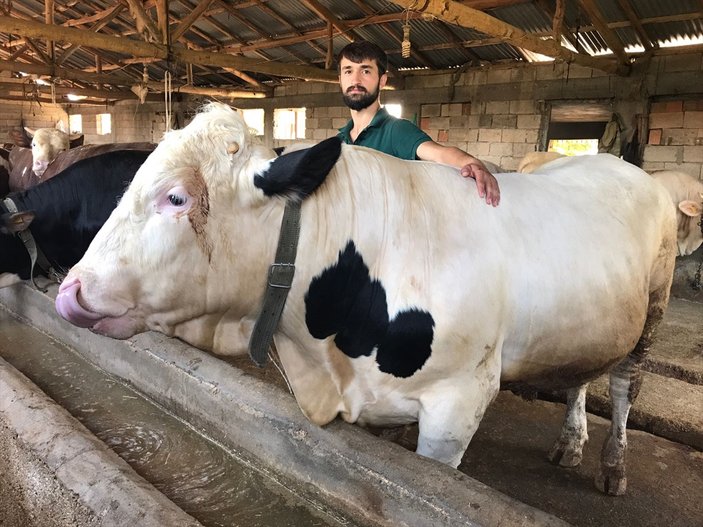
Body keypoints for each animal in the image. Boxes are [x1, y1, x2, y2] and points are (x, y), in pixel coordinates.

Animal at [57, 102, 680, 496]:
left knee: (623, 386)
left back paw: (613, 466)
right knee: (581, 375)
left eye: (176, 197)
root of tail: (623, 165)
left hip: (654, 308)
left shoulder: (461, 400)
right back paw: (570, 443)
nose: (69, 290)